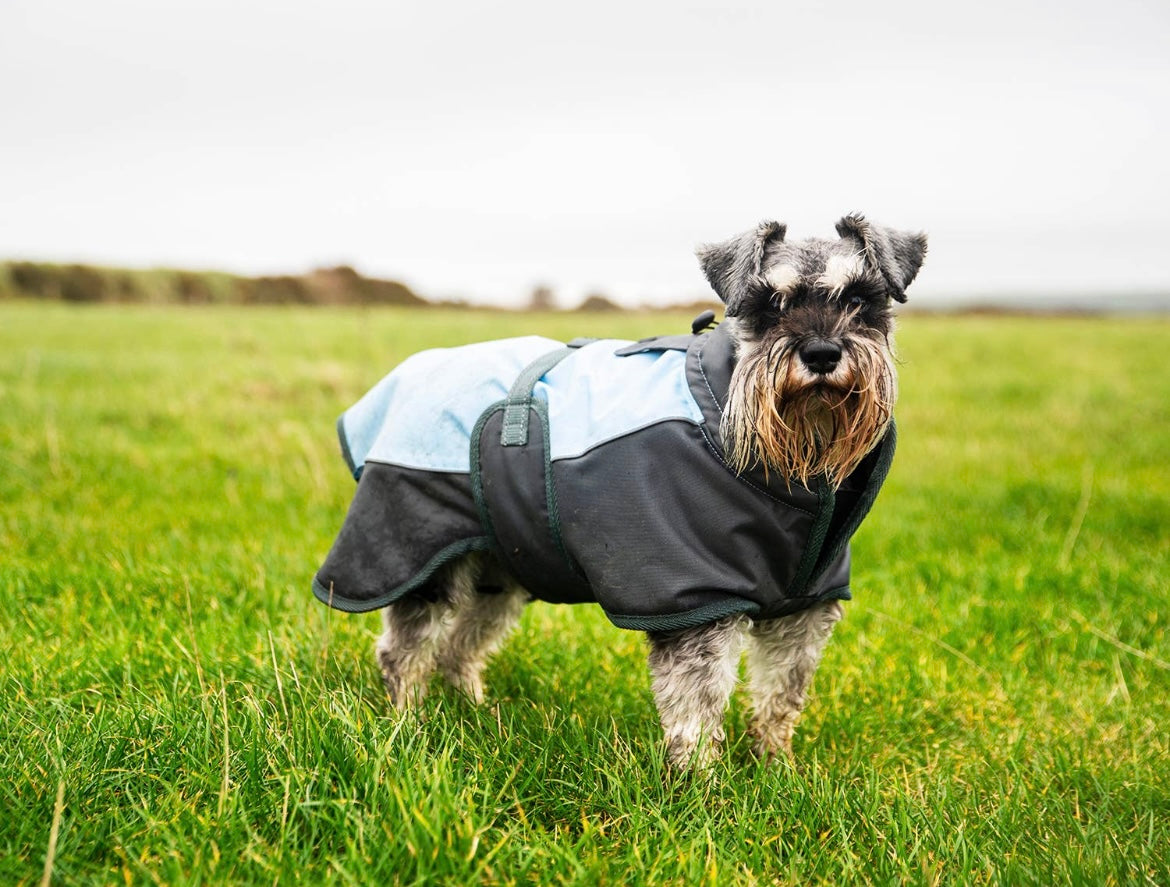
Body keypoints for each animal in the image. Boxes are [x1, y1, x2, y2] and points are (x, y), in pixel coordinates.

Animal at [315, 217, 926, 772]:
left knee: (460, 646)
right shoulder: (697, 608)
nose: (822, 354)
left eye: (861, 299)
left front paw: (777, 768)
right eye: (769, 305)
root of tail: (403, 376)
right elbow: (697, 708)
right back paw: (408, 722)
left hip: (500, 567)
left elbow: (781, 695)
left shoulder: (803, 610)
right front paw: (703, 790)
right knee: (405, 648)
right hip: (419, 553)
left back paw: (475, 713)